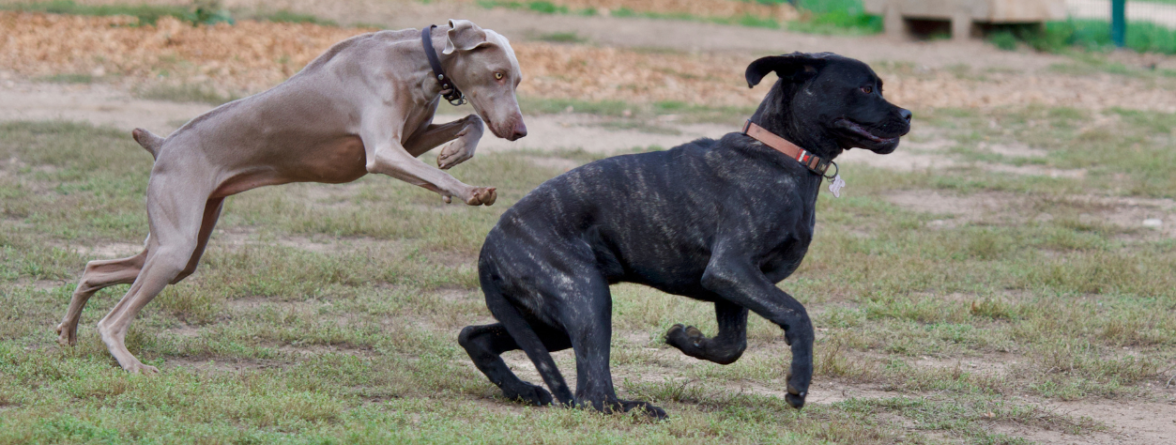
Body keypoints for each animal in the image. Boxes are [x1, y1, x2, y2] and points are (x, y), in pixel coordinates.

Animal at [57, 19, 526, 372]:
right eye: (498, 74)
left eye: (516, 79)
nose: (520, 131)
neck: (414, 62)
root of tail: (162, 144)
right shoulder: (383, 151)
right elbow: (430, 168)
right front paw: (470, 191)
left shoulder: (410, 140)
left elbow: (470, 123)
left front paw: (454, 153)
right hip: (175, 242)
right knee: (113, 318)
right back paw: (130, 363)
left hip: (180, 246)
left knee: (97, 267)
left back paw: (67, 333)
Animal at [456, 52, 907, 416]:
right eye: (865, 87)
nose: (907, 115)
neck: (781, 155)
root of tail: (488, 249)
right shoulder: (731, 270)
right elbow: (797, 314)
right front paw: (797, 384)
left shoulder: (733, 287)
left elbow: (731, 346)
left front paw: (685, 339)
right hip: (587, 299)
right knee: (592, 395)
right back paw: (633, 409)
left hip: (544, 321)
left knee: (474, 337)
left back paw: (522, 390)